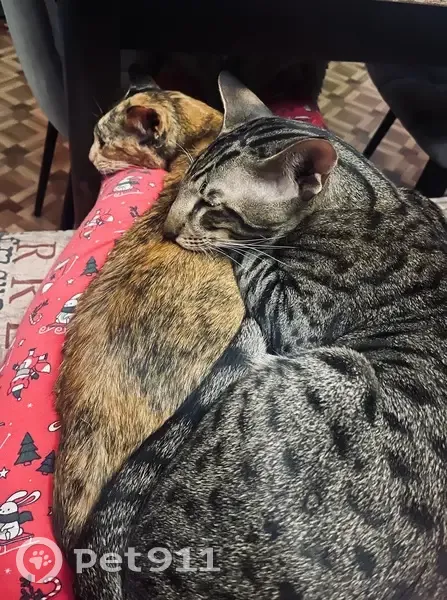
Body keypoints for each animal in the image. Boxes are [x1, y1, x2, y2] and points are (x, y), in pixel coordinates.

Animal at [75, 73, 447, 599]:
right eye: (185, 187)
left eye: (212, 206)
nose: (168, 228)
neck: (363, 198)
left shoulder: (297, 316)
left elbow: (252, 256)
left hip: (336, 365)